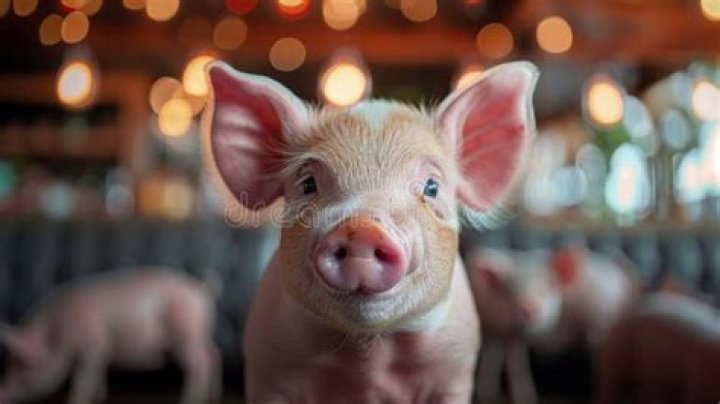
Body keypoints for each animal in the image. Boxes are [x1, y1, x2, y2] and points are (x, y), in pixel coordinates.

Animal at [0, 268, 221, 404]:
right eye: (9, 363)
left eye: (24, 364)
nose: (3, 394)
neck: (56, 332)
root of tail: (201, 289)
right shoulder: (101, 348)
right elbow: (98, 372)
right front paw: (99, 397)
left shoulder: (92, 344)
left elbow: (83, 379)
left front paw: (76, 401)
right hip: (200, 333)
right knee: (213, 354)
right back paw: (213, 397)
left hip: (185, 332)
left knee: (199, 364)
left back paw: (189, 400)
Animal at [203, 60, 539, 402]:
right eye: (308, 184)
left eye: (432, 187)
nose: (361, 229)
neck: (369, 359)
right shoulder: (266, 368)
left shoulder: (454, 371)